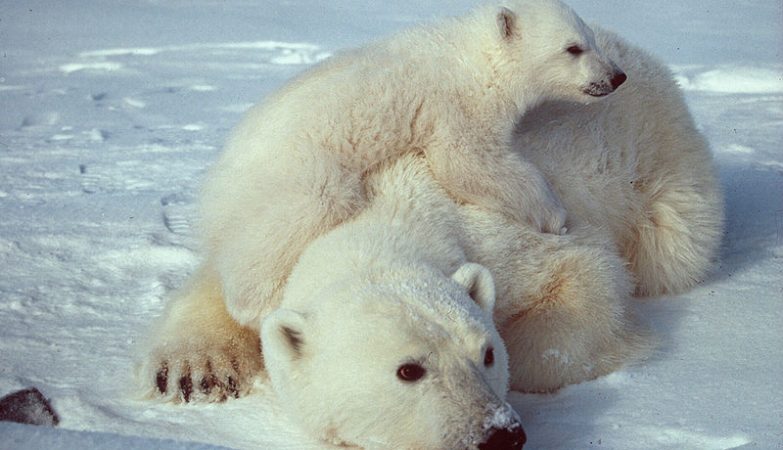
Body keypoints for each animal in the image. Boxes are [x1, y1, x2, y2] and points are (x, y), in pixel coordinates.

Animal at [198, 0, 627, 329]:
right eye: (573, 48)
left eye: (591, 39)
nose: (617, 76)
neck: (475, 57)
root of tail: (216, 185)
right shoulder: (457, 104)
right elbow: (468, 161)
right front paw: (555, 215)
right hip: (297, 171)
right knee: (299, 217)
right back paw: (258, 303)